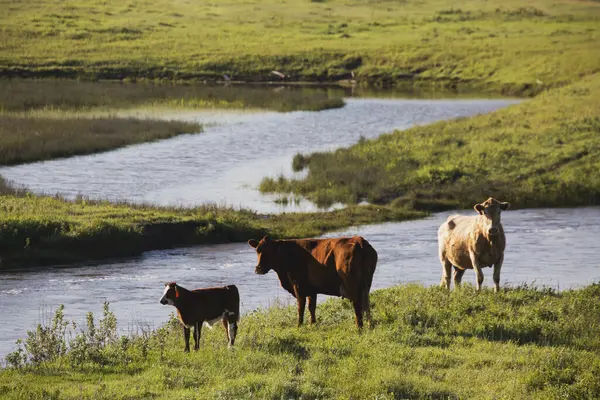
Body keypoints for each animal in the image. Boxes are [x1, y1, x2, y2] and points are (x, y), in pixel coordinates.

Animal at [246, 234, 378, 328]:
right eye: (257, 250)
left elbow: (301, 307)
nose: (258, 268)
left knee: (357, 304)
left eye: (270, 251)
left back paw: (359, 327)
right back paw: (368, 325)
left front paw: (299, 325)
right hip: (366, 283)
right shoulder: (312, 289)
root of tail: (359, 241)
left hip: (351, 283)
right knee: (365, 304)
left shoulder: (298, 285)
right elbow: (311, 306)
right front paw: (312, 324)